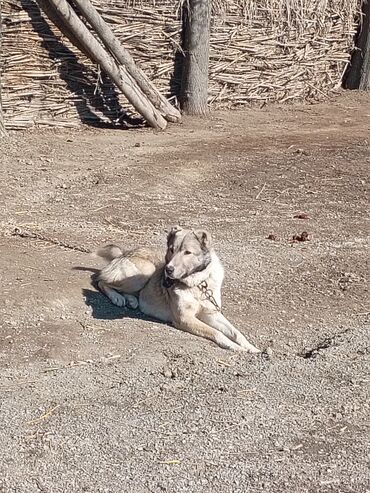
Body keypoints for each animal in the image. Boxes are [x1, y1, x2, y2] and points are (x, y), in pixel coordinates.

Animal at [93, 225, 260, 352]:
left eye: (187, 252)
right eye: (171, 249)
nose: (168, 269)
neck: (197, 284)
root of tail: (124, 252)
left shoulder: (211, 313)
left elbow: (236, 332)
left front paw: (251, 347)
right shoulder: (184, 318)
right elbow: (217, 333)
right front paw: (235, 347)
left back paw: (132, 300)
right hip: (145, 272)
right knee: (100, 280)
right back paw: (117, 297)